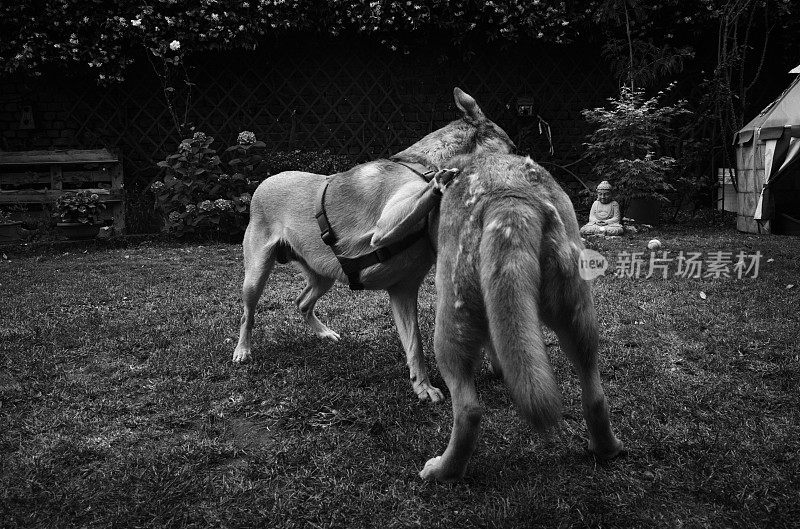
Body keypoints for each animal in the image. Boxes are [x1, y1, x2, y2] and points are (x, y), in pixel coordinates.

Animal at [234, 87, 516, 400]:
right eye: (512, 146)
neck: (421, 164)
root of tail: (265, 181)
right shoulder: (384, 228)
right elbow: (427, 190)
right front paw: (442, 179)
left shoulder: (403, 290)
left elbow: (414, 343)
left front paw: (421, 385)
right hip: (256, 273)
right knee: (247, 314)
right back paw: (242, 350)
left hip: (322, 275)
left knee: (302, 302)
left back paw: (324, 333)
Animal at [412, 152, 624, 478]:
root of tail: (509, 200)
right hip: (578, 316)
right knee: (595, 394)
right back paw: (606, 448)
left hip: (449, 327)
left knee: (469, 411)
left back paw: (442, 470)